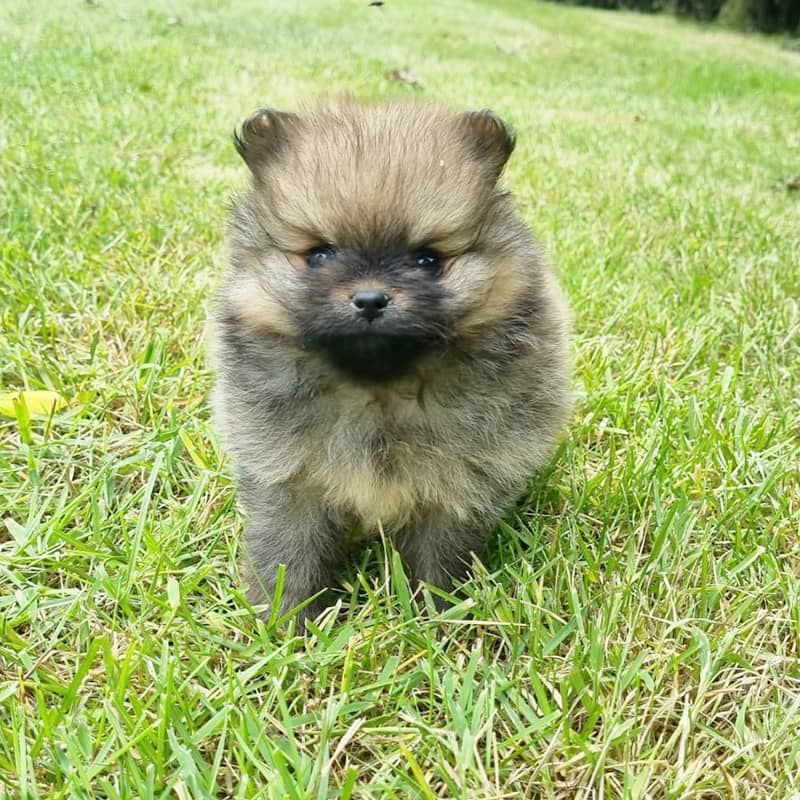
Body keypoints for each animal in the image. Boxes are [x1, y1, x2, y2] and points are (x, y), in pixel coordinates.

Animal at [206, 98, 568, 624]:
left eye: (428, 260)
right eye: (320, 254)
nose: (371, 299)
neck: (377, 389)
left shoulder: (459, 484)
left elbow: (439, 561)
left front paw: (436, 619)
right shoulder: (288, 477)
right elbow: (287, 554)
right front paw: (281, 621)